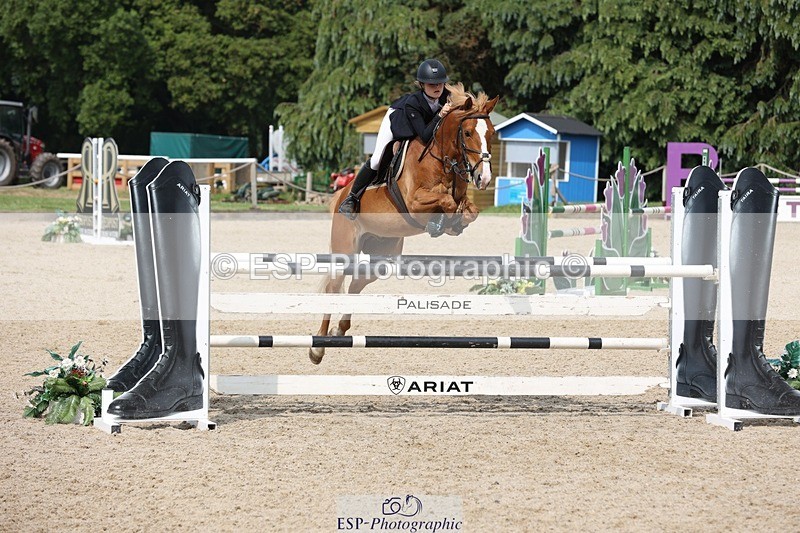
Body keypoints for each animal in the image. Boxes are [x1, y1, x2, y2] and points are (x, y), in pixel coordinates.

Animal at [310, 85, 498, 364]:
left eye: (492, 133)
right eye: (467, 132)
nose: (483, 178)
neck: (442, 159)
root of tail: (340, 195)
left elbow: (468, 211)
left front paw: (452, 224)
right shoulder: (414, 202)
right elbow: (445, 202)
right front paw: (439, 223)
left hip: (382, 253)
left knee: (357, 283)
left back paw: (339, 330)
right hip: (346, 248)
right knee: (334, 287)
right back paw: (317, 348)